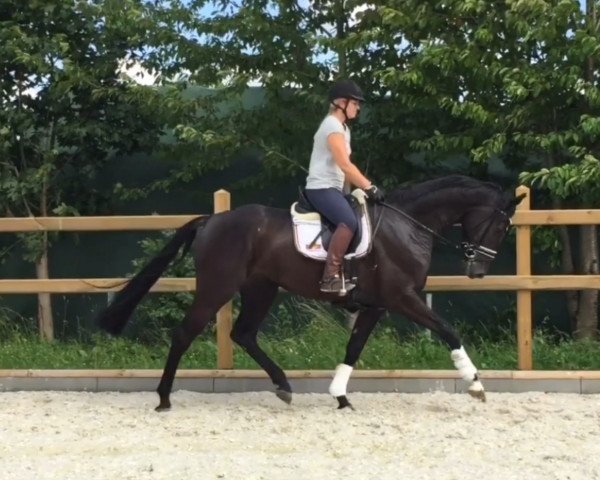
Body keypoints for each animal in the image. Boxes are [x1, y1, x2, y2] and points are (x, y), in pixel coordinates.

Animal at [96, 174, 524, 410]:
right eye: (502, 226)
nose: (478, 270)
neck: (408, 226)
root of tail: (211, 221)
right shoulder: (403, 298)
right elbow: (449, 330)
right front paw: (476, 385)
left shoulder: (376, 305)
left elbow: (354, 348)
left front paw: (340, 396)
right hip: (218, 287)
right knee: (186, 333)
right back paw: (164, 399)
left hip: (262, 288)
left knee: (244, 333)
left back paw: (284, 387)